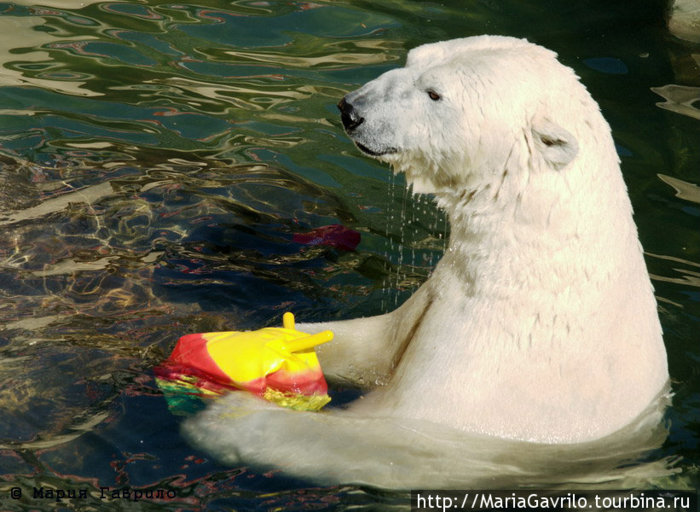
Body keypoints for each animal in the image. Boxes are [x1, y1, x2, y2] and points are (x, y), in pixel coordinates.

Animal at [183, 37, 668, 488]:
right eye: (412, 59)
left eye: (435, 94)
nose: (351, 109)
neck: (530, 277)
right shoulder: (436, 300)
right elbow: (369, 344)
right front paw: (245, 343)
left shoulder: (486, 395)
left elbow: (387, 441)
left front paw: (229, 416)